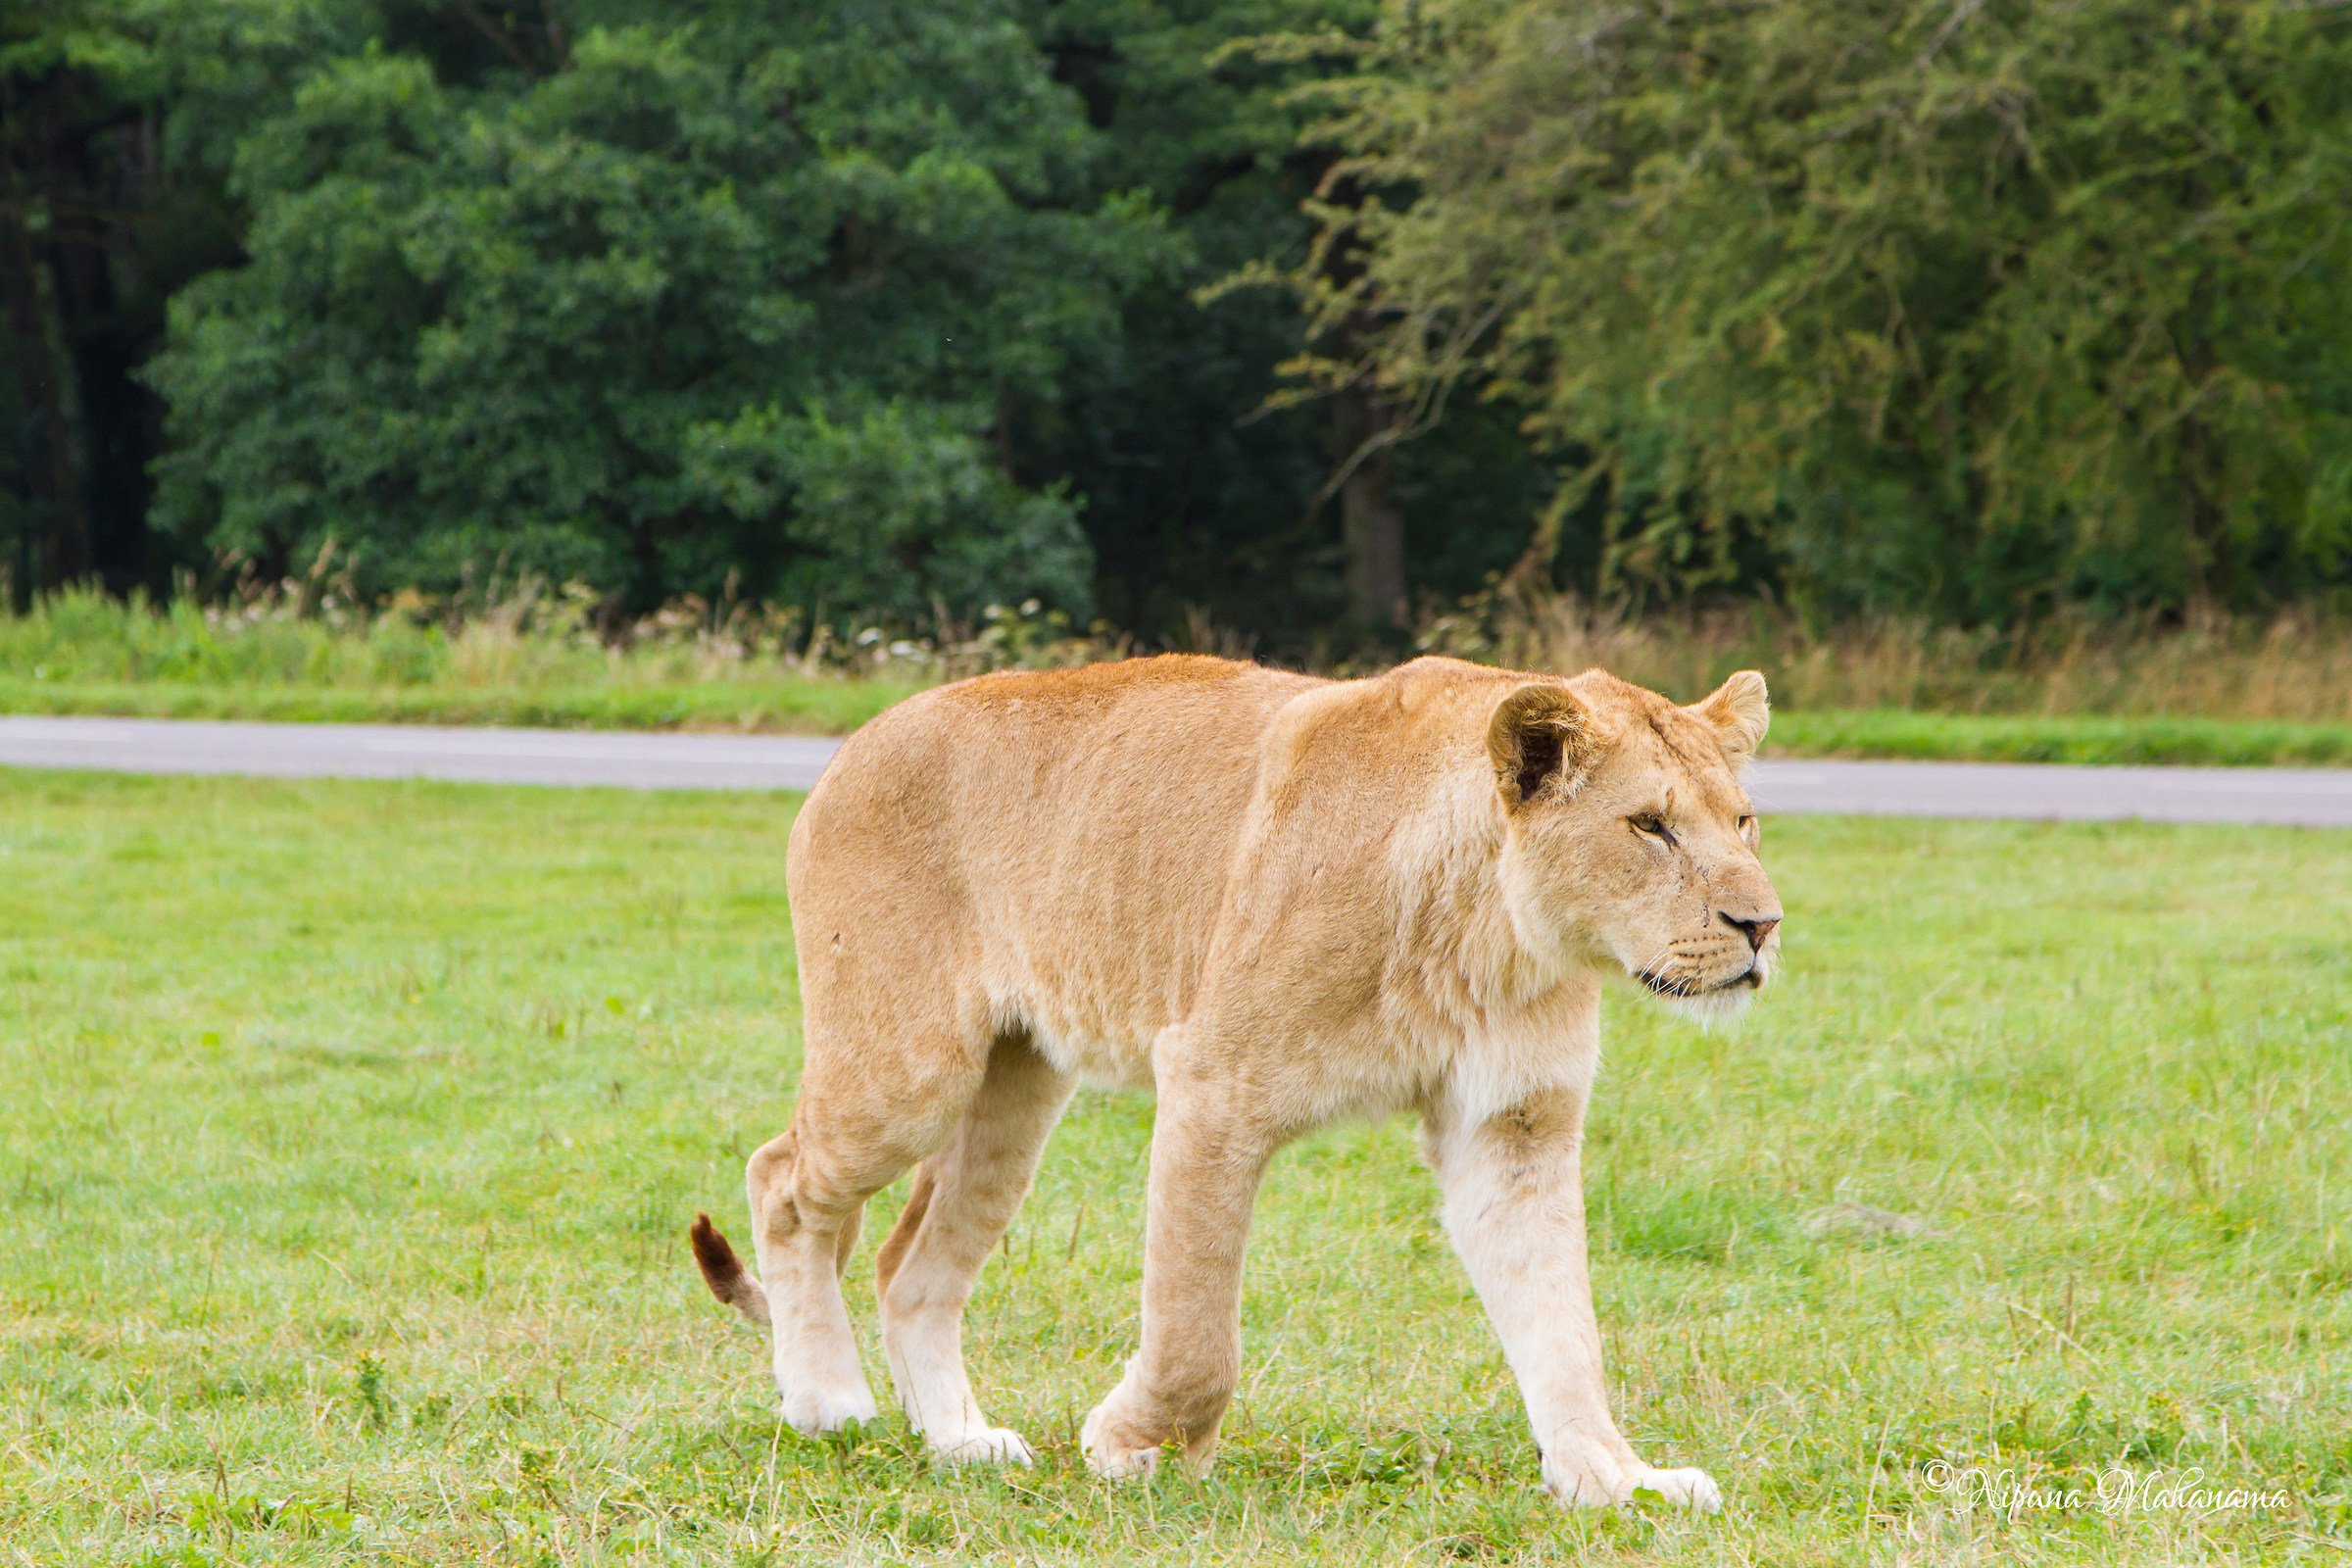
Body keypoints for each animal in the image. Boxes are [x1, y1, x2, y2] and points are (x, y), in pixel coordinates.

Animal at [689, 654, 1780, 1511]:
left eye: (1743, 821)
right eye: (1649, 825)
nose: (1763, 925)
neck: (1489, 934)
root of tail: (858, 739)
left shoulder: (1513, 1127)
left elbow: (1561, 1323)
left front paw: (1614, 1478)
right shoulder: (1212, 1083)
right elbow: (1194, 1325)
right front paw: (1136, 1446)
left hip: (1019, 1084)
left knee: (908, 1262)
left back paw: (961, 1440)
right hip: (909, 1070)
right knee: (781, 1177)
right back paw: (827, 1403)